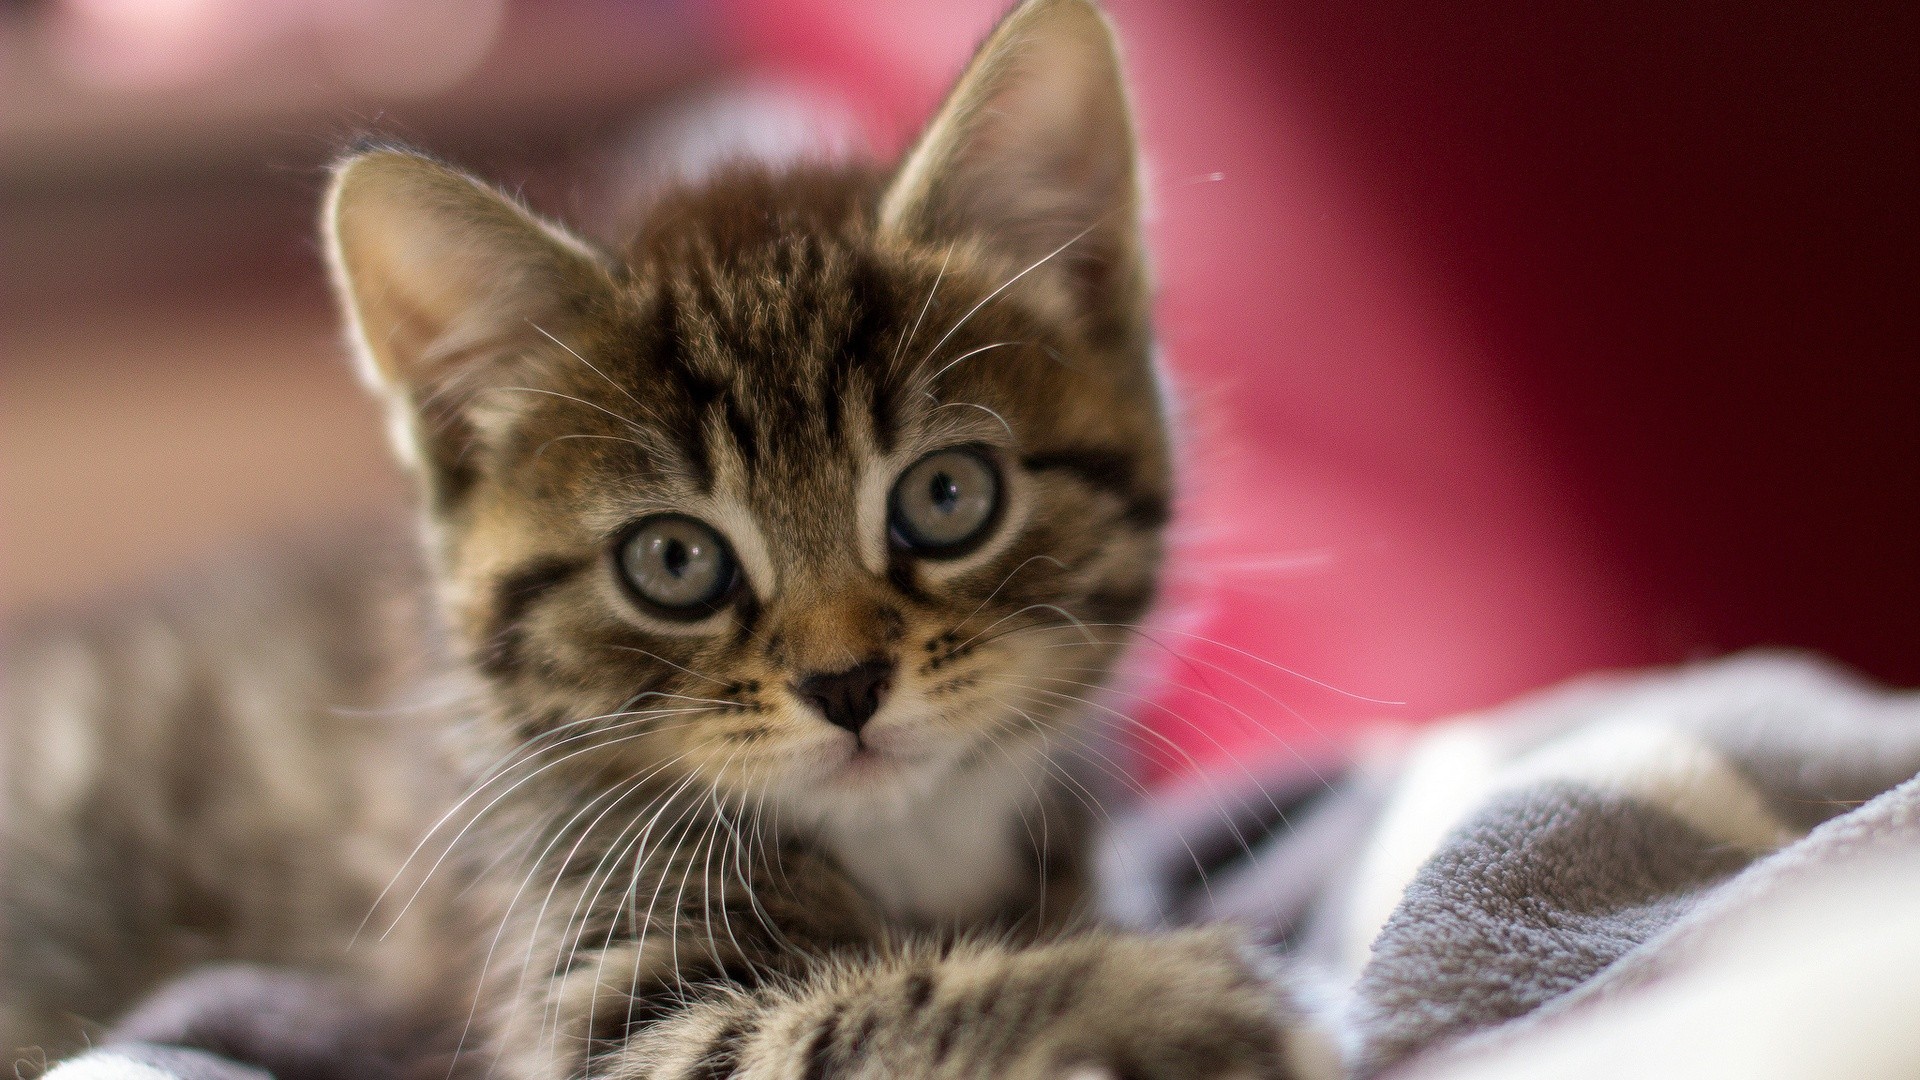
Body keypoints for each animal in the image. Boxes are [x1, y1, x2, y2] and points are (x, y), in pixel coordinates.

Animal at [7, 0, 1297, 1068]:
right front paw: (1152, 1003)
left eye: (946, 497)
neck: (910, 842)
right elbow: (825, 1016)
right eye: (675, 562)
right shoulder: (577, 957)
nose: (845, 683)